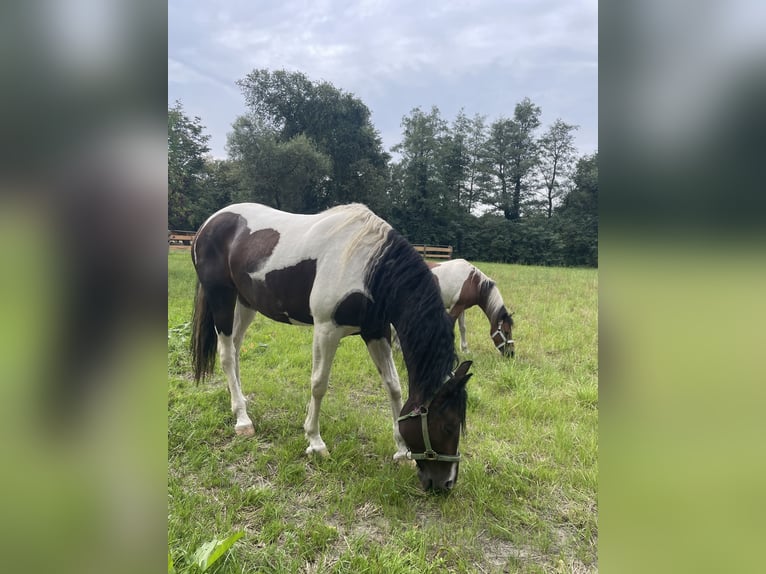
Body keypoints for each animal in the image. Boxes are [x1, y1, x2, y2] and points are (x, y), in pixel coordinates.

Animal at [190, 202, 473, 492]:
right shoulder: (327, 330)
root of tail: (208, 224)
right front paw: (315, 442)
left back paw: (239, 401)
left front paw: (401, 452)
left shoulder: (376, 331)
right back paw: (242, 420)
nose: (446, 483)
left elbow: (393, 386)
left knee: (235, 349)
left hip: (246, 303)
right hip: (221, 298)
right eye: (448, 426)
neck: (369, 267)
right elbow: (319, 385)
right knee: (226, 354)